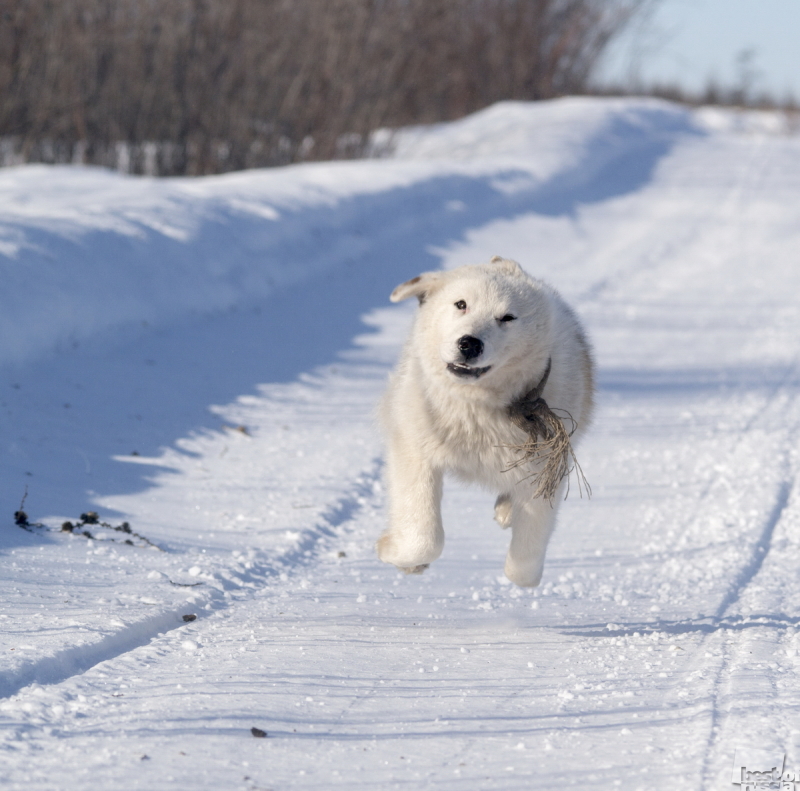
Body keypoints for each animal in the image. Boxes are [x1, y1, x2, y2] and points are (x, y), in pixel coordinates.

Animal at [376, 256, 592, 584]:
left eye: (507, 317)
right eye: (461, 304)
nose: (469, 344)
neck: (476, 407)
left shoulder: (548, 466)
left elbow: (523, 569)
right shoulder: (414, 448)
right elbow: (424, 538)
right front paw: (395, 552)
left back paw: (505, 511)